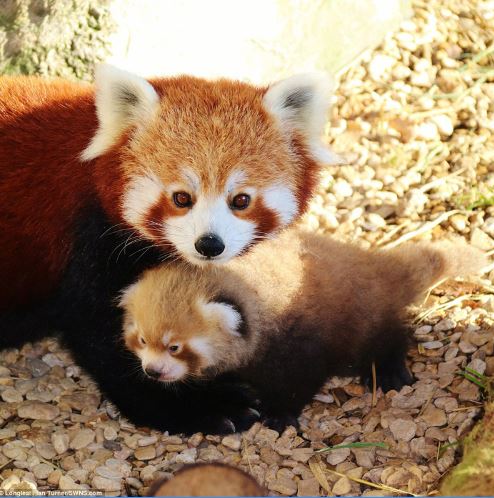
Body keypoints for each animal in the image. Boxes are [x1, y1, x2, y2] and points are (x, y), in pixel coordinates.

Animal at [0, 65, 336, 432]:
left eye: (241, 200)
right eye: (181, 198)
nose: (209, 244)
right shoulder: (92, 236)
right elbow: (99, 329)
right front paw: (200, 405)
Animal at [120, 230, 486, 432]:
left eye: (175, 347)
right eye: (142, 340)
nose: (152, 372)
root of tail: (373, 263)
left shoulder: (298, 342)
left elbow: (298, 381)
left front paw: (279, 415)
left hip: (364, 318)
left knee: (391, 334)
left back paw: (388, 369)